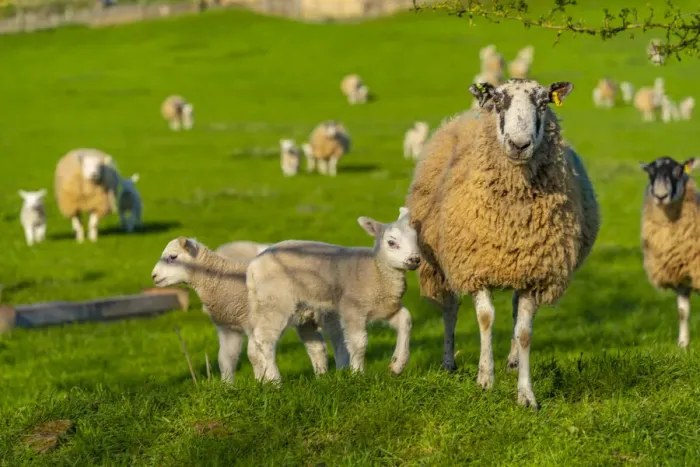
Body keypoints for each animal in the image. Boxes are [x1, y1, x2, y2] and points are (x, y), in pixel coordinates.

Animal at [151, 236, 348, 382]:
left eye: (173, 257)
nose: (153, 276)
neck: (219, 281)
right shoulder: (227, 327)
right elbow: (225, 359)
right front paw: (227, 387)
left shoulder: (251, 324)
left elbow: (253, 355)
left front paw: (262, 383)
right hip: (305, 318)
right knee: (317, 347)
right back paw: (321, 377)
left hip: (328, 312)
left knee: (339, 340)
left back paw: (344, 374)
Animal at [245, 207, 421, 383]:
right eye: (391, 243)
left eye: (417, 240)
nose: (415, 260)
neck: (377, 269)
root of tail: (253, 266)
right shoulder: (352, 308)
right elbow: (359, 342)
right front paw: (358, 375)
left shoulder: (385, 307)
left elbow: (406, 320)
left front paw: (397, 366)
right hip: (277, 300)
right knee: (264, 338)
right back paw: (275, 381)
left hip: (275, 306)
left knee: (256, 345)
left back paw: (262, 381)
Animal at [406, 78, 600, 409]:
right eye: (498, 101)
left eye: (544, 102)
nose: (519, 145)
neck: (513, 217)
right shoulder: (475, 266)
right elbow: (485, 319)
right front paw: (485, 379)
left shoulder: (534, 272)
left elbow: (524, 332)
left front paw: (526, 394)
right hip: (444, 263)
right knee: (450, 309)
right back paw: (449, 362)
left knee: (512, 310)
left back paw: (511, 361)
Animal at [639, 156, 700, 349]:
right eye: (650, 173)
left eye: (679, 171)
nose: (660, 196)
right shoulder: (680, 274)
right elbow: (682, 311)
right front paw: (683, 345)